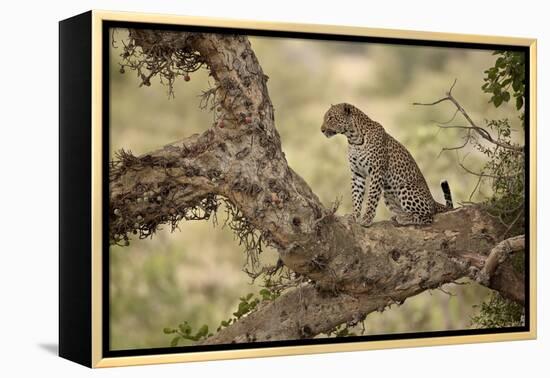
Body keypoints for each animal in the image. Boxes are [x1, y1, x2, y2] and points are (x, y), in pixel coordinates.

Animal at [322, 103, 454, 226]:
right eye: (325, 118)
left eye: (331, 118)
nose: (321, 130)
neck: (353, 139)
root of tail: (433, 201)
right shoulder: (357, 173)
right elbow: (356, 196)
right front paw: (354, 215)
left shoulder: (376, 172)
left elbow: (372, 197)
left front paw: (367, 218)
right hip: (388, 194)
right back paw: (398, 216)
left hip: (405, 187)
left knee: (428, 217)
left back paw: (404, 218)